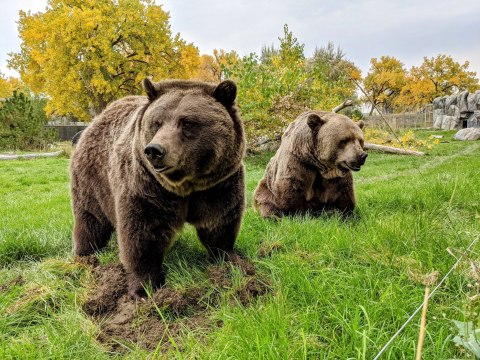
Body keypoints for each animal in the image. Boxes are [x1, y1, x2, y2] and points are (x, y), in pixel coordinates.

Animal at [69, 79, 246, 298]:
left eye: (187, 122)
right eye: (156, 122)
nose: (155, 150)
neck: (186, 185)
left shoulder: (218, 185)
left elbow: (219, 223)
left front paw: (231, 261)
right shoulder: (147, 188)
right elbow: (142, 236)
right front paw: (144, 288)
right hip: (93, 181)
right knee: (91, 220)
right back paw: (86, 256)